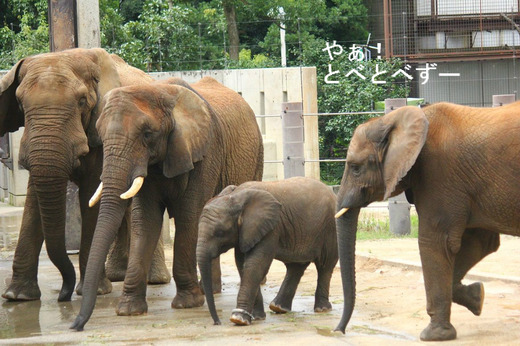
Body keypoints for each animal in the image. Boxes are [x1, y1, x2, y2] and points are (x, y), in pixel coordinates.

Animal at [0, 47, 171, 302]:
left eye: (81, 101)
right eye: (20, 103)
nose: (63, 294)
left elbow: (91, 195)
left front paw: (96, 291)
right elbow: (33, 202)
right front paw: (17, 296)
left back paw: (155, 280)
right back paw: (117, 275)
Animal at [70, 75, 264, 330]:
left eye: (147, 134)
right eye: (100, 135)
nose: (76, 325)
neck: (161, 92)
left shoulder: (205, 153)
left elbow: (189, 217)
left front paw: (187, 304)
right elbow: (146, 221)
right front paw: (129, 310)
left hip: (257, 156)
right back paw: (209, 290)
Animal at [195, 177, 338, 326]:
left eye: (219, 233)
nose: (217, 322)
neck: (236, 196)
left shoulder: (271, 228)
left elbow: (256, 265)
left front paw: (238, 319)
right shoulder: (246, 232)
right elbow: (243, 265)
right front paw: (256, 317)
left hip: (330, 228)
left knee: (325, 265)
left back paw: (322, 309)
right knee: (296, 266)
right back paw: (279, 308)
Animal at [334, 102, 520, 340]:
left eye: (356, 168)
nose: (338, 331)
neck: (394, 119)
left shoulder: (439, 172)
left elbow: (435, 242)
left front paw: (434, 336)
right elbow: (479, 242)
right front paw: (477, 297)